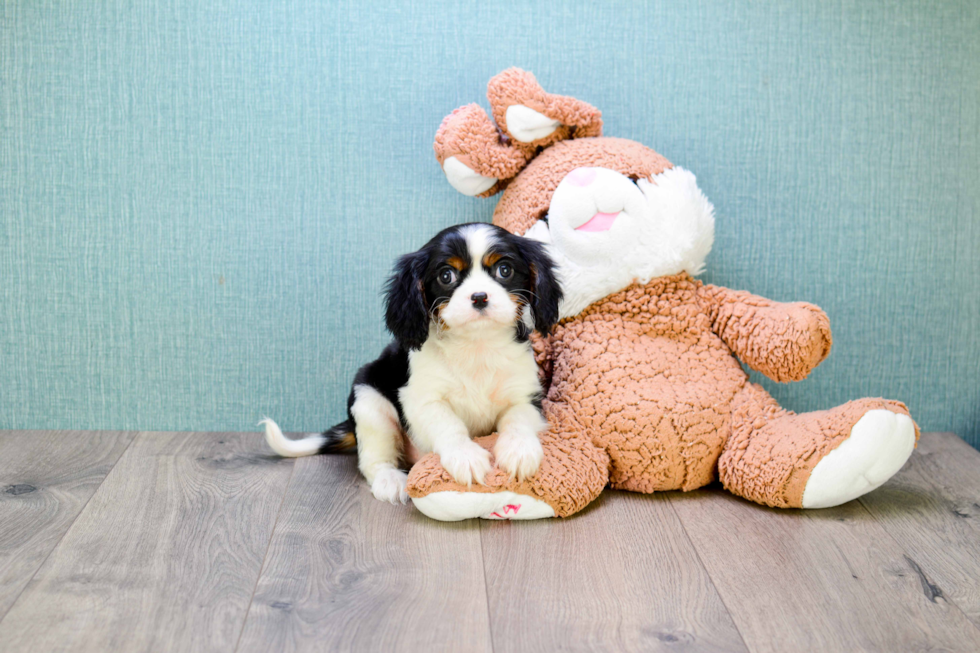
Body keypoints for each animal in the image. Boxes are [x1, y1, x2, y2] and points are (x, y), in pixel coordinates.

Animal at [260, 224, 564, 504]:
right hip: (369, 402)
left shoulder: (525, 395)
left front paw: (519, 451)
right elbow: (448, 424)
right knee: (373, 461)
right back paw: (390, 480)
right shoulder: (421, 400)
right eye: (446, 275)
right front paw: (465, 456)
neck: (476, 346)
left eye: (504, 270)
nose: (479, 297)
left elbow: (517, 420)